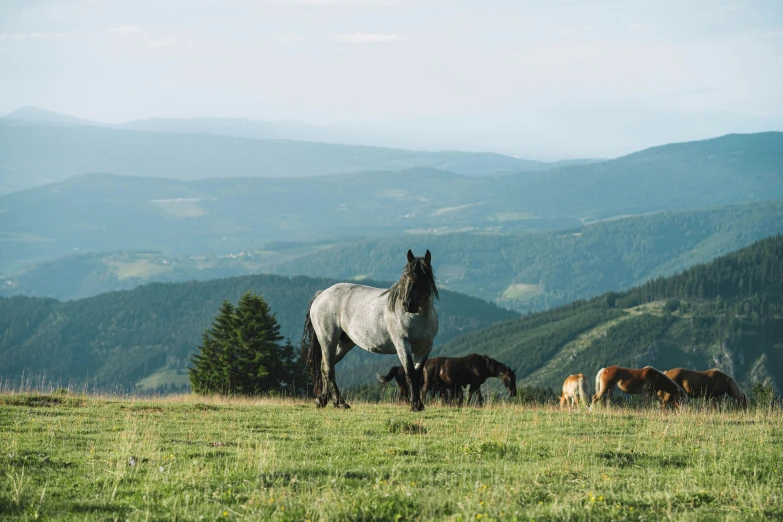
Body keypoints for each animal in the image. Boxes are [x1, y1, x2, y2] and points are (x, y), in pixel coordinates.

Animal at [302, 248, 438, 410]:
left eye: (423, 277)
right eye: (405, 276)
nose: (408, 304)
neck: (419, 318)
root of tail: (321, 295)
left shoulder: (425, 348)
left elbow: (417, 375)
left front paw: (417, 404)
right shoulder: (402, 345)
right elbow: (410, 373)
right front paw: (415, 405)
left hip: (345, 343)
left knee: (326, 365)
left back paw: (323, 400)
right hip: (328, 340)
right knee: (328, 369)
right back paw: (340, 402)